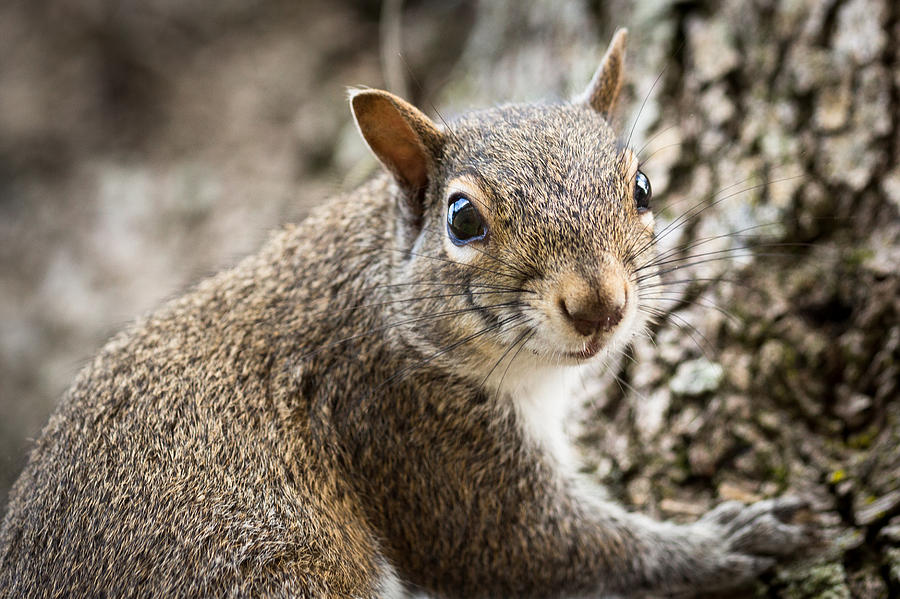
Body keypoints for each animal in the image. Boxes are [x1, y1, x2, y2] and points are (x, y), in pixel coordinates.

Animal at [0, 29, 816, 599]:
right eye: (462, 219)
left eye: (642, 185)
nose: (599, 305)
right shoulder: (404, 422)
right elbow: (531, 548)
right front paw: (717, 544)